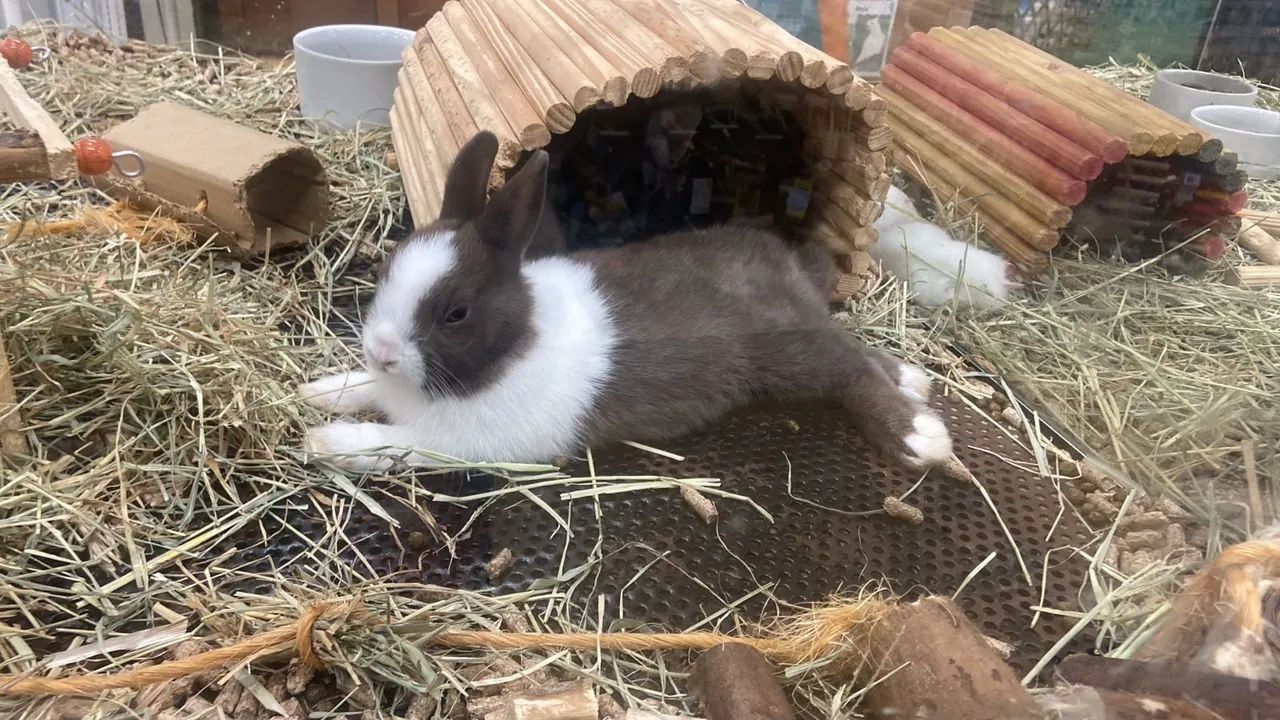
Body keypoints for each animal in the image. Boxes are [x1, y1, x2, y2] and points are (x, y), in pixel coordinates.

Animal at [298, 131, 953, 473]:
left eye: (455, 313)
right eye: (387, 268)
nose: (382, 351)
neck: (511, 346)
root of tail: (786, 262)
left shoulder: (458, 444)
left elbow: (391, 444)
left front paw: (325, 442)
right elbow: (358, 391)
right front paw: (316, 392)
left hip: (786, 352)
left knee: (849, 369)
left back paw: (919, 434)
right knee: (858, 350)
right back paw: (914, 378)